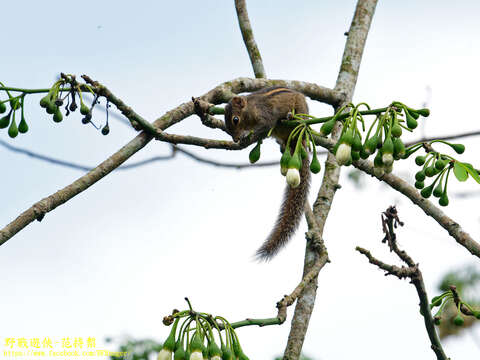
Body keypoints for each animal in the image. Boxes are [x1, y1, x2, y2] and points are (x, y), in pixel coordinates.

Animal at [223, 87, 310, 262]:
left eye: (235, 120)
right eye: (226, 127)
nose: (235, 139)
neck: (250, 109)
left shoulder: (265, 115)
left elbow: (266, 125)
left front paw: (247, 137)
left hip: (300, 109)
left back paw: (291, 117)